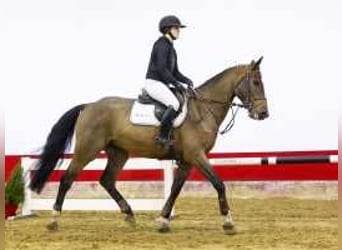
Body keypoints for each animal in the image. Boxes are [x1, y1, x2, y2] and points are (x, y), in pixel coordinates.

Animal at [29, 55, 268, 233]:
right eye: (256, 83)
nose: (264, 113)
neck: (203, 110)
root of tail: (88, 106)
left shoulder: (187, 160)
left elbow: (175, 189)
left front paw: (163, 220)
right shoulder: (196, 155)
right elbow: (218, 183)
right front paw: (228, 222)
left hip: (119, 152)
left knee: (107, 180)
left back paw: (129, 215)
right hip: (87, 149)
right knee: (67, 178)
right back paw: (54, 219)